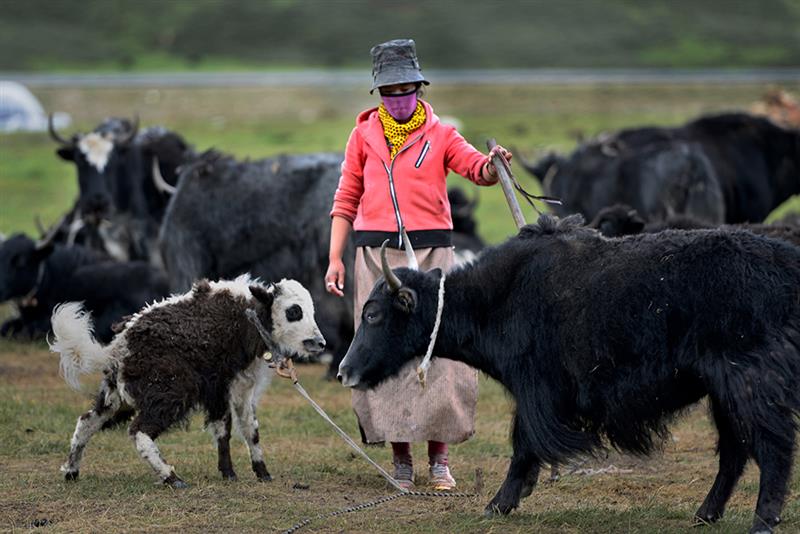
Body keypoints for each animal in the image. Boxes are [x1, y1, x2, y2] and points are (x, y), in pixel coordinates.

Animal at [49, 276, 324, 490]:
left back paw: (71, 471)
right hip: (171, 393)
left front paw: (257, 473)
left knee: (87, 421)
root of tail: (117, 347)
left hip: (116, 397)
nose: (319, 343)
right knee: (139, 431)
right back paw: (172, 477)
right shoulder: (223, 388)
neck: (246, 318)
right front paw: (234, 473)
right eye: (294, 311)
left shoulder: (236, 390)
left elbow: (246, 430)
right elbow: (228, 429)